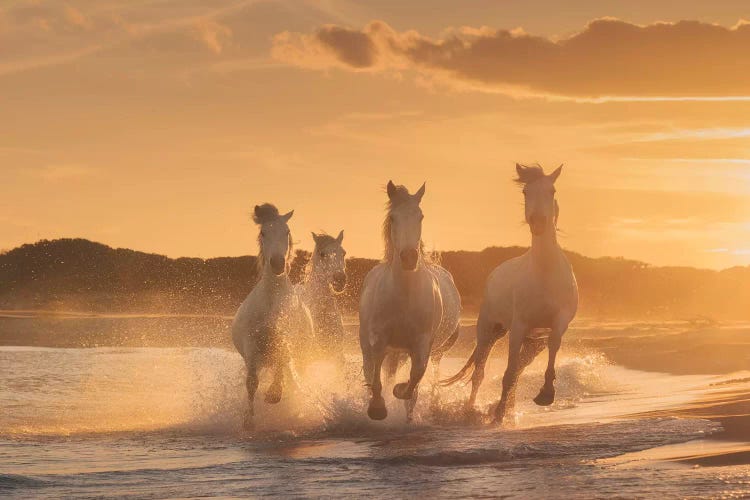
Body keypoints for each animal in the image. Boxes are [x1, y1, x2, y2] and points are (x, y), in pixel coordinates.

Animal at [229, 203, 312, 430]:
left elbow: (282, 361)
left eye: (287, 231)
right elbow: (251, 383)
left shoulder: (285, 339)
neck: (272, 303)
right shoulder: (251, 347)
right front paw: (248, 420)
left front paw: (273, 395)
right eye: (263, 233)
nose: (277, 263)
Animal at [360, 182, 462, 420]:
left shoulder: (422, 343)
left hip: (403, 352)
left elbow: (416, 375)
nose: (409, 257)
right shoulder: (379, 338)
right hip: (369, 343)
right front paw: (377, 407)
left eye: (420, 216)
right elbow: (376, 375)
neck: (404, 295)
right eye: (393, 218)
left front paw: (401, 392)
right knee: (370, 366)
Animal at [444, 166, 580, 424]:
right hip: (489, 330)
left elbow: (552, 345)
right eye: (525, 191)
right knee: (480, 371)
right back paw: (472, 410)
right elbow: (507, 372)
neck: (545, 274)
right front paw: (497, 414)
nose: (538, 223)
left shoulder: (557, 323)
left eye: (552, 190)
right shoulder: (518, 327)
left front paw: (546, 393)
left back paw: (510, 409)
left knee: (518, 369)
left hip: (533, 343)